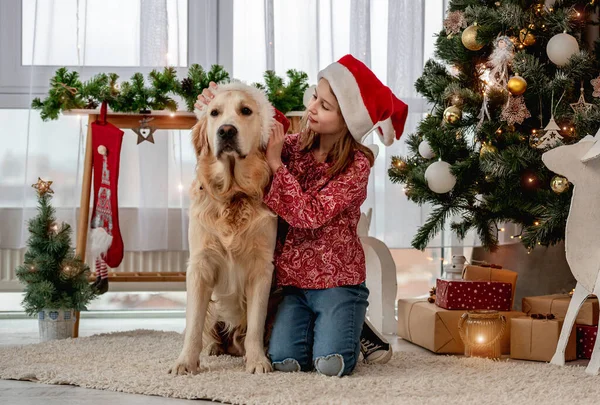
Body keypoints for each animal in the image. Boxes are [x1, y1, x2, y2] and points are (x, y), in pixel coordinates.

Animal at [169, 83, 276, 376]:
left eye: (246, 110)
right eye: (214, 113)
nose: (226, 131)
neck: (233, 195)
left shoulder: (262, 267)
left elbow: (255, 324)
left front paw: (257, 361)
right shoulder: (200, 264)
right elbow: (194, 325)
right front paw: (185, 362)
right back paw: (213, 348)